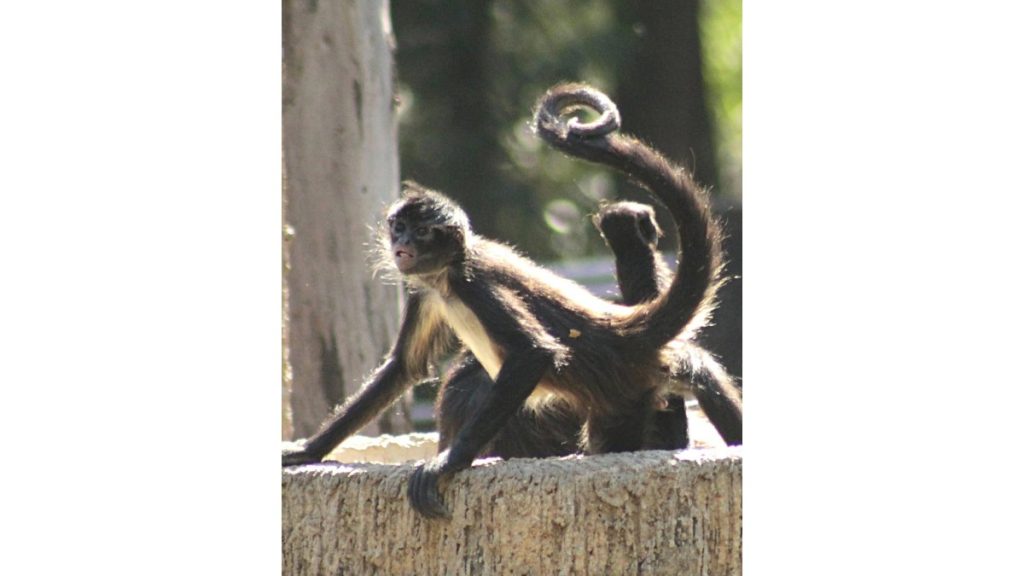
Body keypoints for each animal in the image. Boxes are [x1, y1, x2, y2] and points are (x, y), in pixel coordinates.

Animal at [283, 83, 725, 520]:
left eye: (422, 231)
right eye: (399, 226)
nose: (402, 243)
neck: (449, 272)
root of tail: (620, 333)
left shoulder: (474, 285)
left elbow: (534, 353)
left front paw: (447, 463)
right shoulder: (426, 291)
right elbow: (404, 367)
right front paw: (308, 450)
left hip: (621, 399)